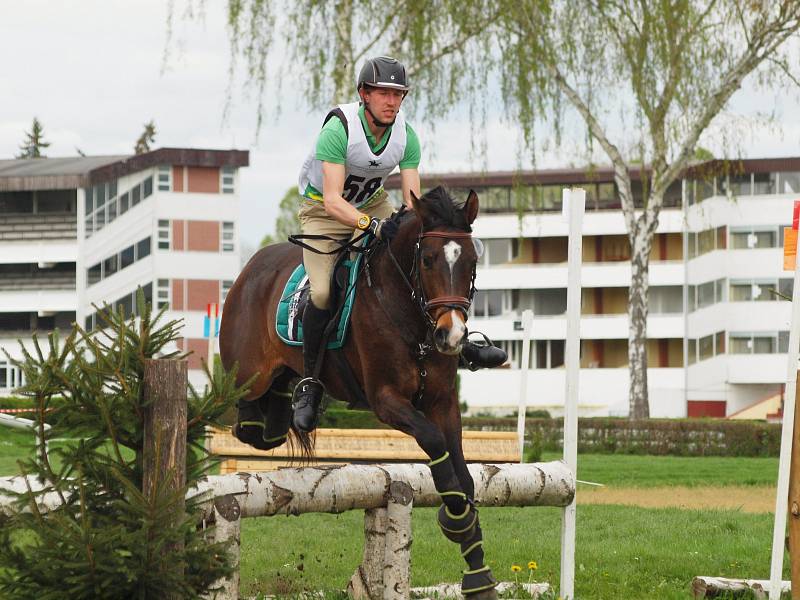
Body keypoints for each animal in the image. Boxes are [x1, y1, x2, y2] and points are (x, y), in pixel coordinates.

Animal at [216, 186, 496, 596]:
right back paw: (283, 411)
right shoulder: (386, 401)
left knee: (273, 418)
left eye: (473, 260)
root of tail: (249, 270)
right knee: (249, 419)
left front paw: (476, 569)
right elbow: (434, 442)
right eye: (427, 260)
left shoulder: (443, 402)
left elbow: (464, 472)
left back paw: (295, 408)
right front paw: (457, 519)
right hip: (249, 374)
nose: (452, 336)